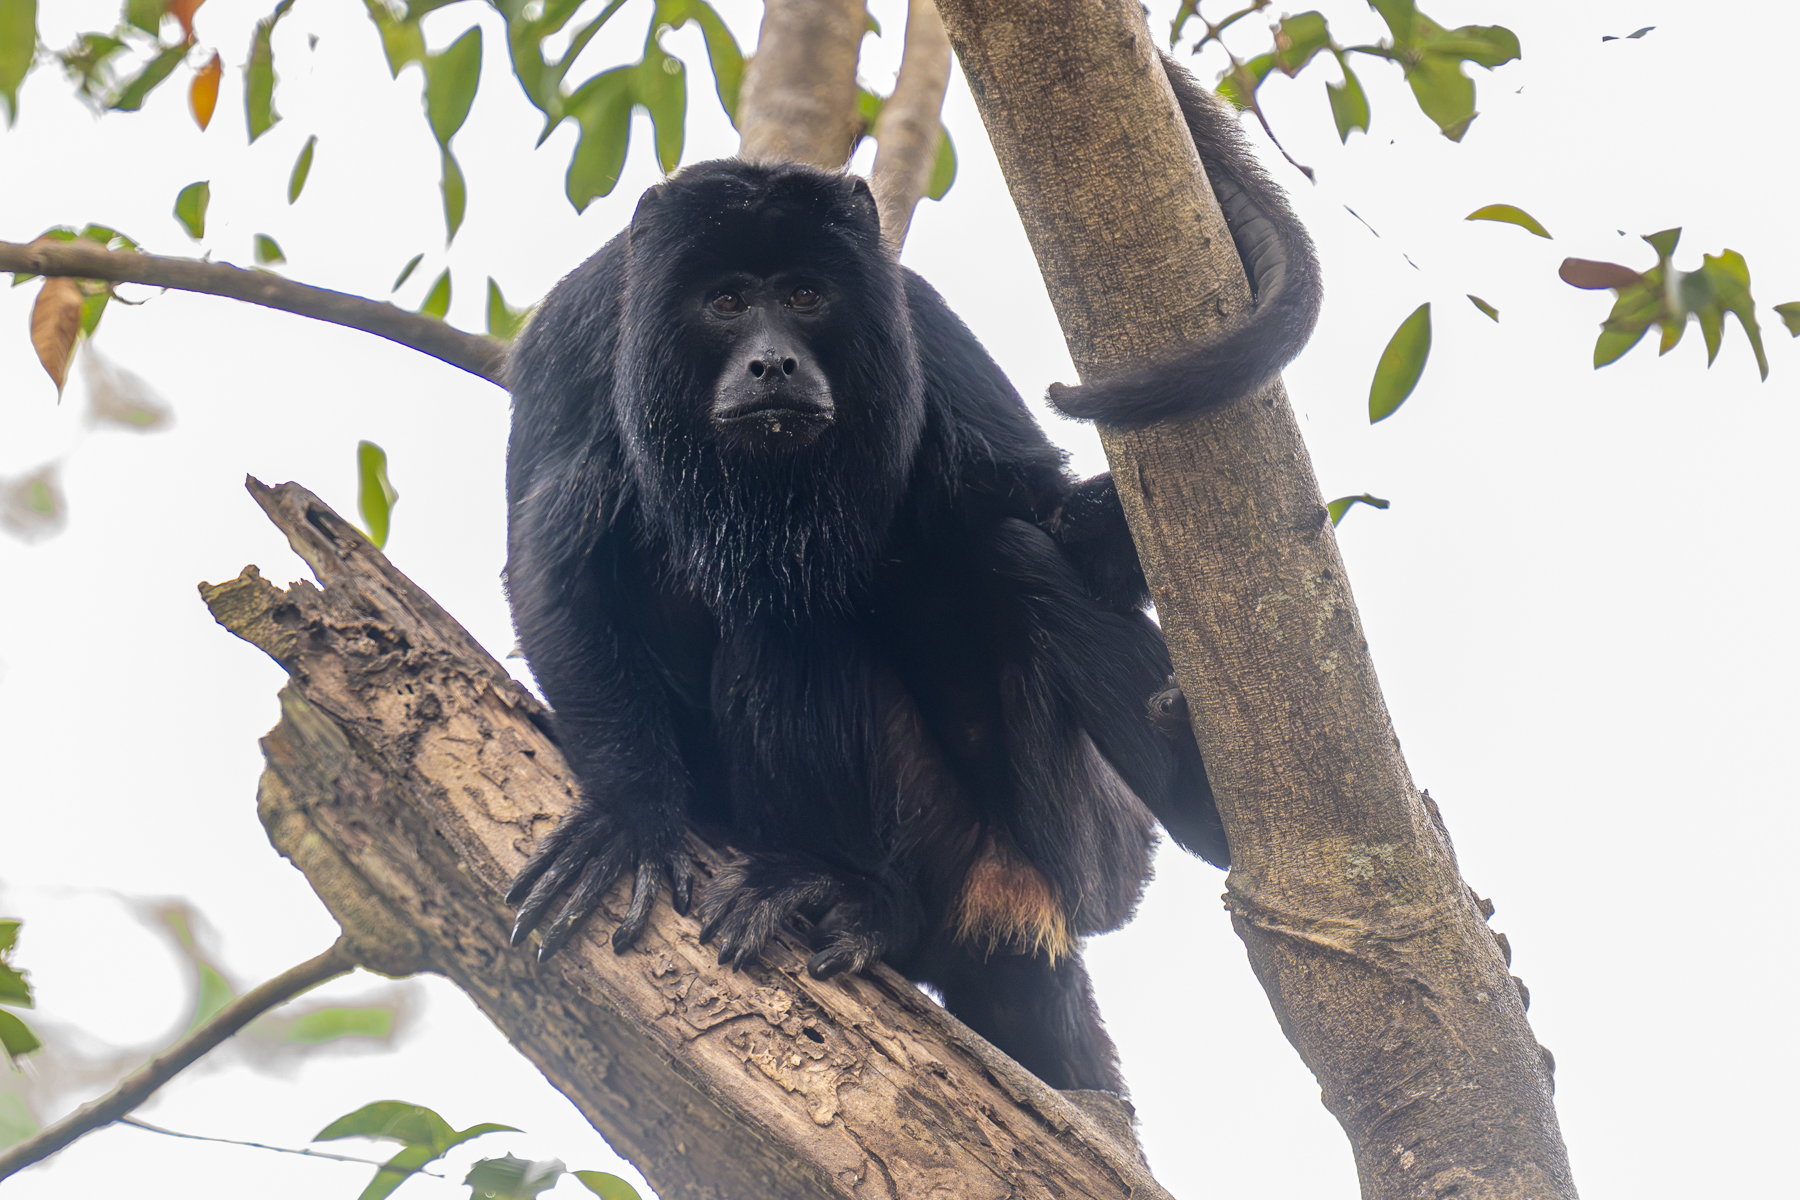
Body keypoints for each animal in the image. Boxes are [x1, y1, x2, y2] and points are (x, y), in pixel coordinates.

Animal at [501, 57, 1318, 1092]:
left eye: (806, 294)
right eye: (726, 303)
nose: (773, 363)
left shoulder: (916, 321)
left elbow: (1043, 516)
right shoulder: (579, 331)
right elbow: (554, 569)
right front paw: (632, 816)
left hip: (1063, 847)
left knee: (978, 563)